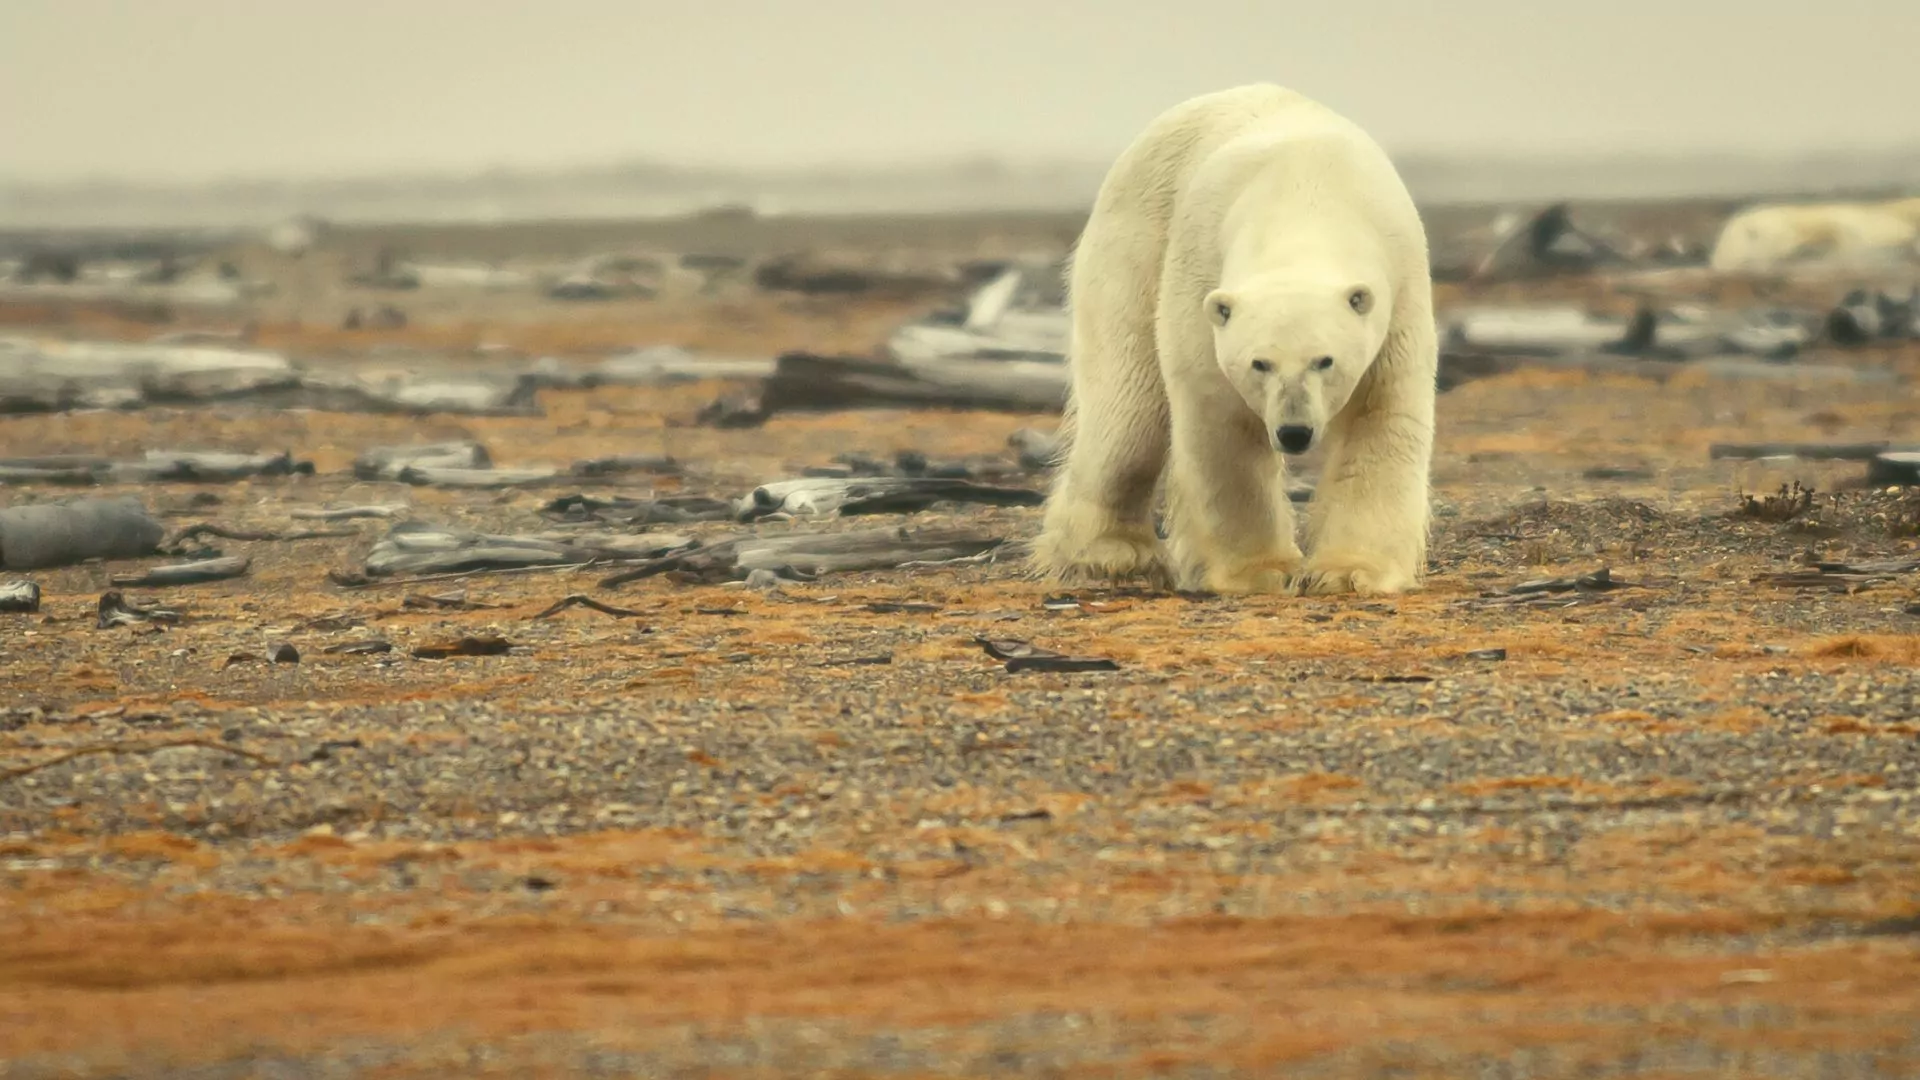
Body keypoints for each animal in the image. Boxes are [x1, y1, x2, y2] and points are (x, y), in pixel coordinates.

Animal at [1036, 84, 1428, 595]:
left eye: (1324, 361)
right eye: (1260, 363)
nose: (1295, 432)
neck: (1305, 197)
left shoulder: (1399, 288)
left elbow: (1380, 412)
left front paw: (1347, 572)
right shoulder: (1201, 270)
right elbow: (1221, 420)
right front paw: (1263, 570)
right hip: (1132, 245)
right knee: (1128, 414)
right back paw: (1113, 554)